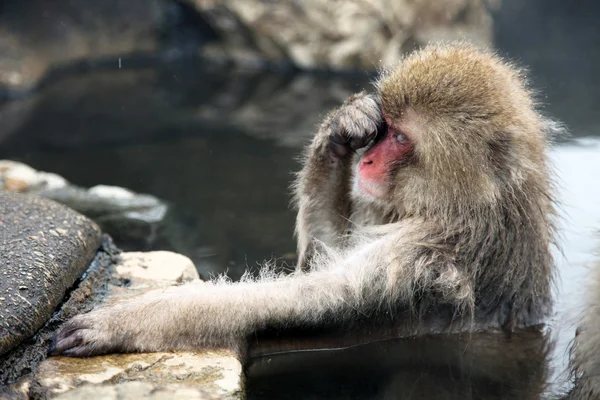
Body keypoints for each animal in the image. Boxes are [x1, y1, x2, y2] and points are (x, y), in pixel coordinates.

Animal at [50, 43, 556, 356]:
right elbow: (320, 257)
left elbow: (309, 298)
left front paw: (130, 321)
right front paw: (343, 126)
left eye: (401, 139)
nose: (368, 159)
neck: (468, 203)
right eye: (385, 129)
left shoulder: (422, 253)